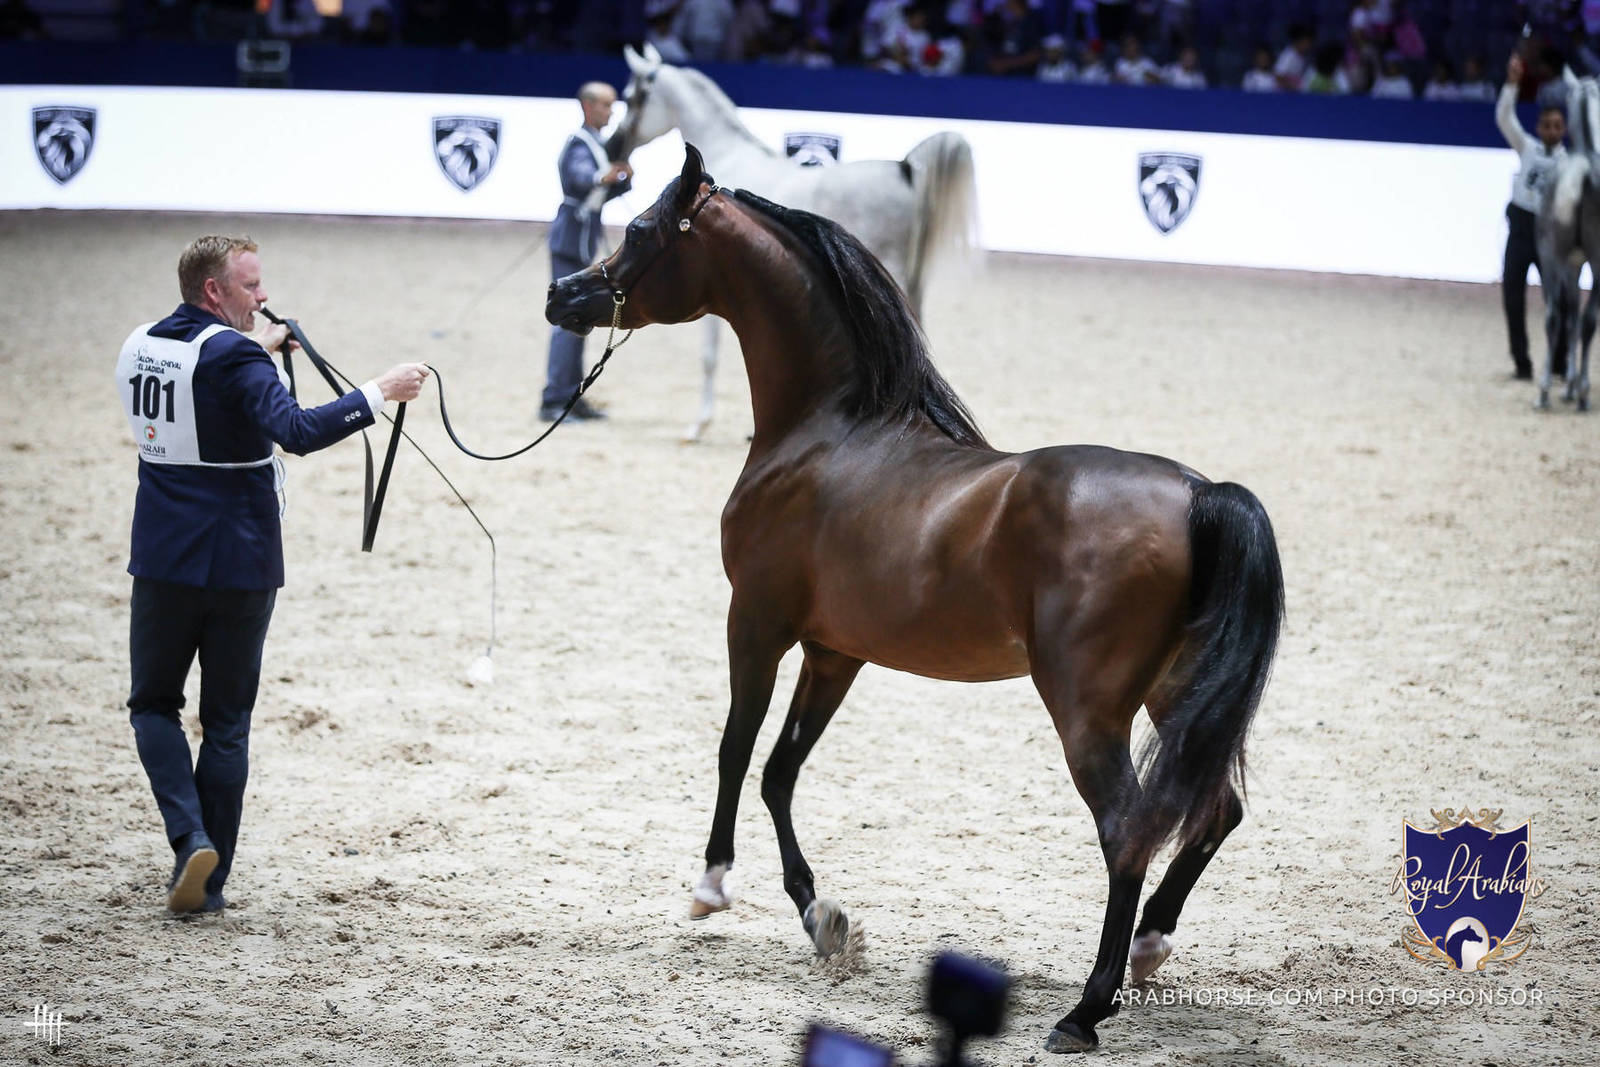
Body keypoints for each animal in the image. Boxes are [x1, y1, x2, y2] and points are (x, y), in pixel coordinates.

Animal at [546, 146, 1284, 1054]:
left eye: (645, 228)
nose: (563, 294)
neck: (827, 433)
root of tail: (1198, 493)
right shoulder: (835, 651)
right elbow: (781, 770)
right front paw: (822, 918)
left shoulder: (755, 623)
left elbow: (734, 749)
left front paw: (712, 884)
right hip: (1173, 692)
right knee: (1215, 810)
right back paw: (1149, 945)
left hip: (1087, 708)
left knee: (1127, 831)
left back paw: (1083, 1011)